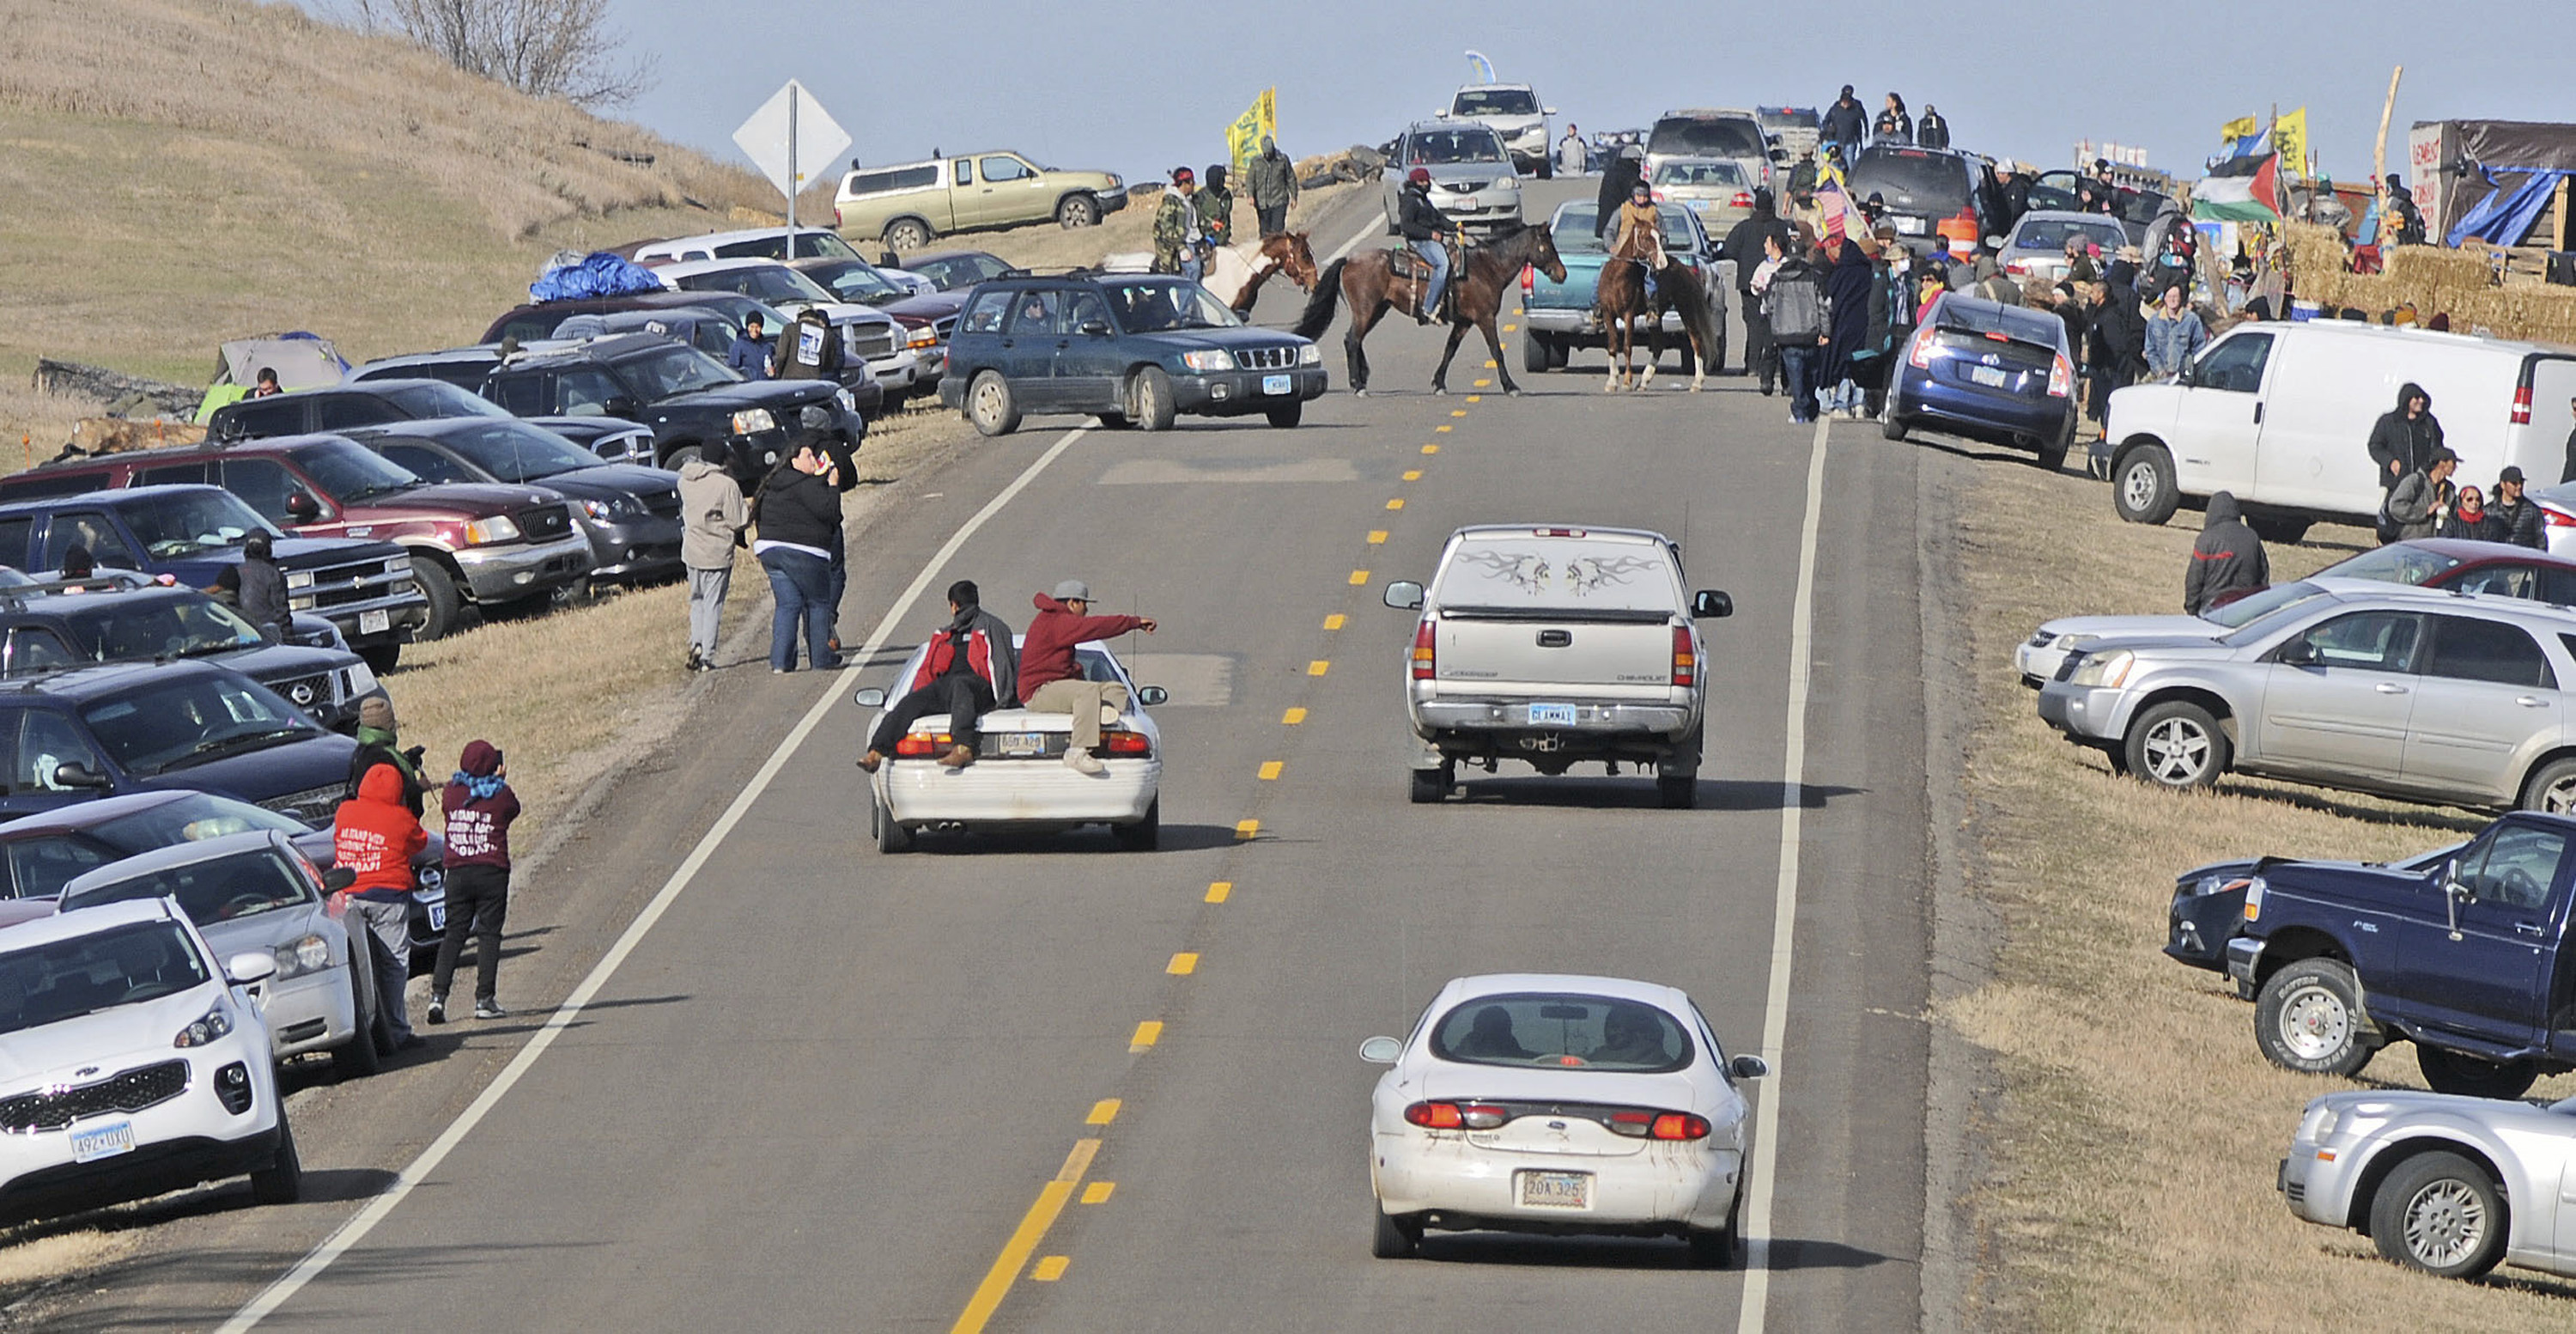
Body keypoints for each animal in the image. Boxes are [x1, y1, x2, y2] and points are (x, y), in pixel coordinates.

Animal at [1288, 225, 1566, 396]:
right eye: (1548, 246)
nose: (1562, 274)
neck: (1487, 268)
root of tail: (1349, 259)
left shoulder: (1464, 321)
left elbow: (1450, 349)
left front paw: (1439, 383)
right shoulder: (1485, 318)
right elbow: (1496, 351)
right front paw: (1511, 386)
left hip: (1376, 310)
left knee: (1355, 340)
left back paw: (1362, 378)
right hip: (1366, 310)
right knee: (1352, 340)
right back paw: (1358, 385)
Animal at [1587, 257, 1731, 391]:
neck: (1618, 275)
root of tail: (1684, 268)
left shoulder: (1629, 315)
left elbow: (1627, 347)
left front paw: (1627, 382)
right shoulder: (1608, 315)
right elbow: (1612, 347)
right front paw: (1612, 382)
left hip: (1685, 307)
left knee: (1696, 340)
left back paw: (1697, 382)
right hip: (1656, 317)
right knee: (1659, 344)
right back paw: (1644, 381)